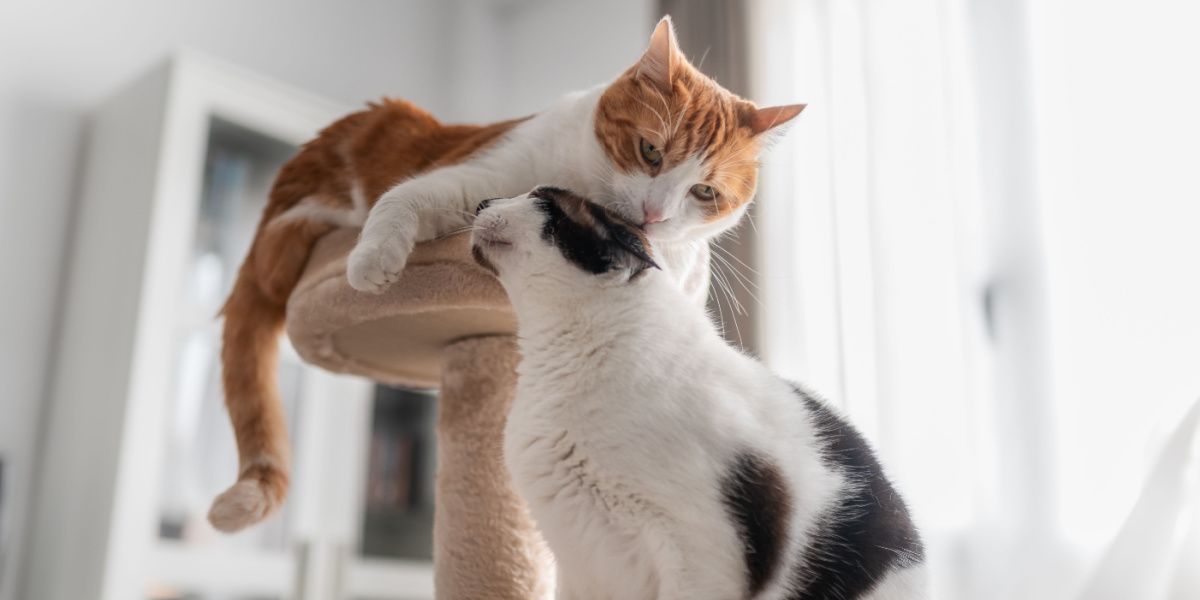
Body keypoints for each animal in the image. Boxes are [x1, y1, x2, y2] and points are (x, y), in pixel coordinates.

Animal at [213, 15, 806, 530]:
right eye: (650, 151)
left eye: (704, 192)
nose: (655, 214)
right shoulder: (474, 176)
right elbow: (405, 198)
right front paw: (373, 261)